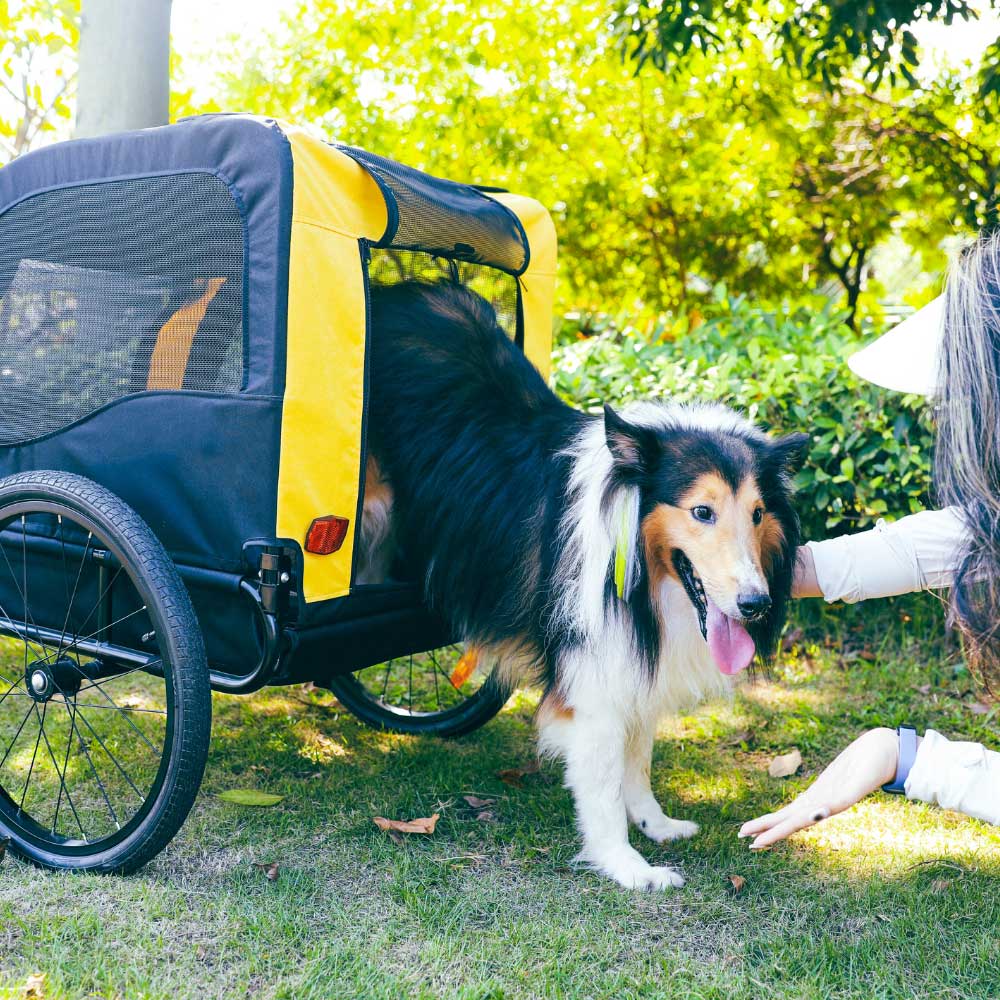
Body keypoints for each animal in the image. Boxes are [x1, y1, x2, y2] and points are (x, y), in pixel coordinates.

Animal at [360, 280, 804, 892]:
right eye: (702, 511)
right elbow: (603, 783)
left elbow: (637, 758)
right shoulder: (593, 677)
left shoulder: (634, 665)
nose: (755, 604)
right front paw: (626, 864)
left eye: (759, 513)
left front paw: (656, 823)